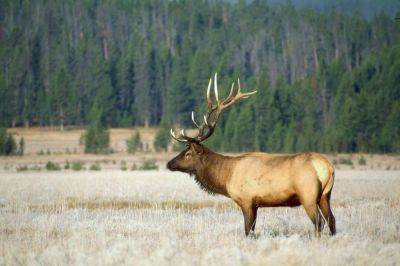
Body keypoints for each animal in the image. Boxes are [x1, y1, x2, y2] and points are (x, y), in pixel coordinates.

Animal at [167, 73, 336, 237]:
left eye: (188, 153)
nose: (169, 163)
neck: (226, 177)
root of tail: (327, 167)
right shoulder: (255, 205)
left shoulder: (246, 200)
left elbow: (248, 230)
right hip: (325, 196)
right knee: (332, 220)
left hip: (308, 196)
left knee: (319, 222)